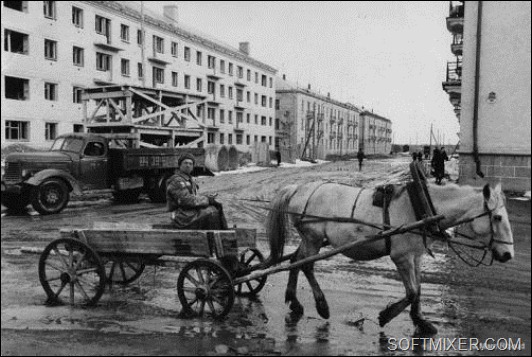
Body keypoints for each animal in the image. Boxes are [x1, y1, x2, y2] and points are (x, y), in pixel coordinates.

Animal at [266, 181, 516, 334]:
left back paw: (294, 301)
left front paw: (420, 320)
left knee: (294, 261)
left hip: (309, 239)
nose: (508, 255)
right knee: (306, 266)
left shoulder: (415, 256)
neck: (420, 208)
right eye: (497, 217)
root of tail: (299, 188)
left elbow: (418, 290)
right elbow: (411, 291)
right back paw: (322, 305)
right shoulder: (401, 257)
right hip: (313, 237)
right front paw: (387, 315)